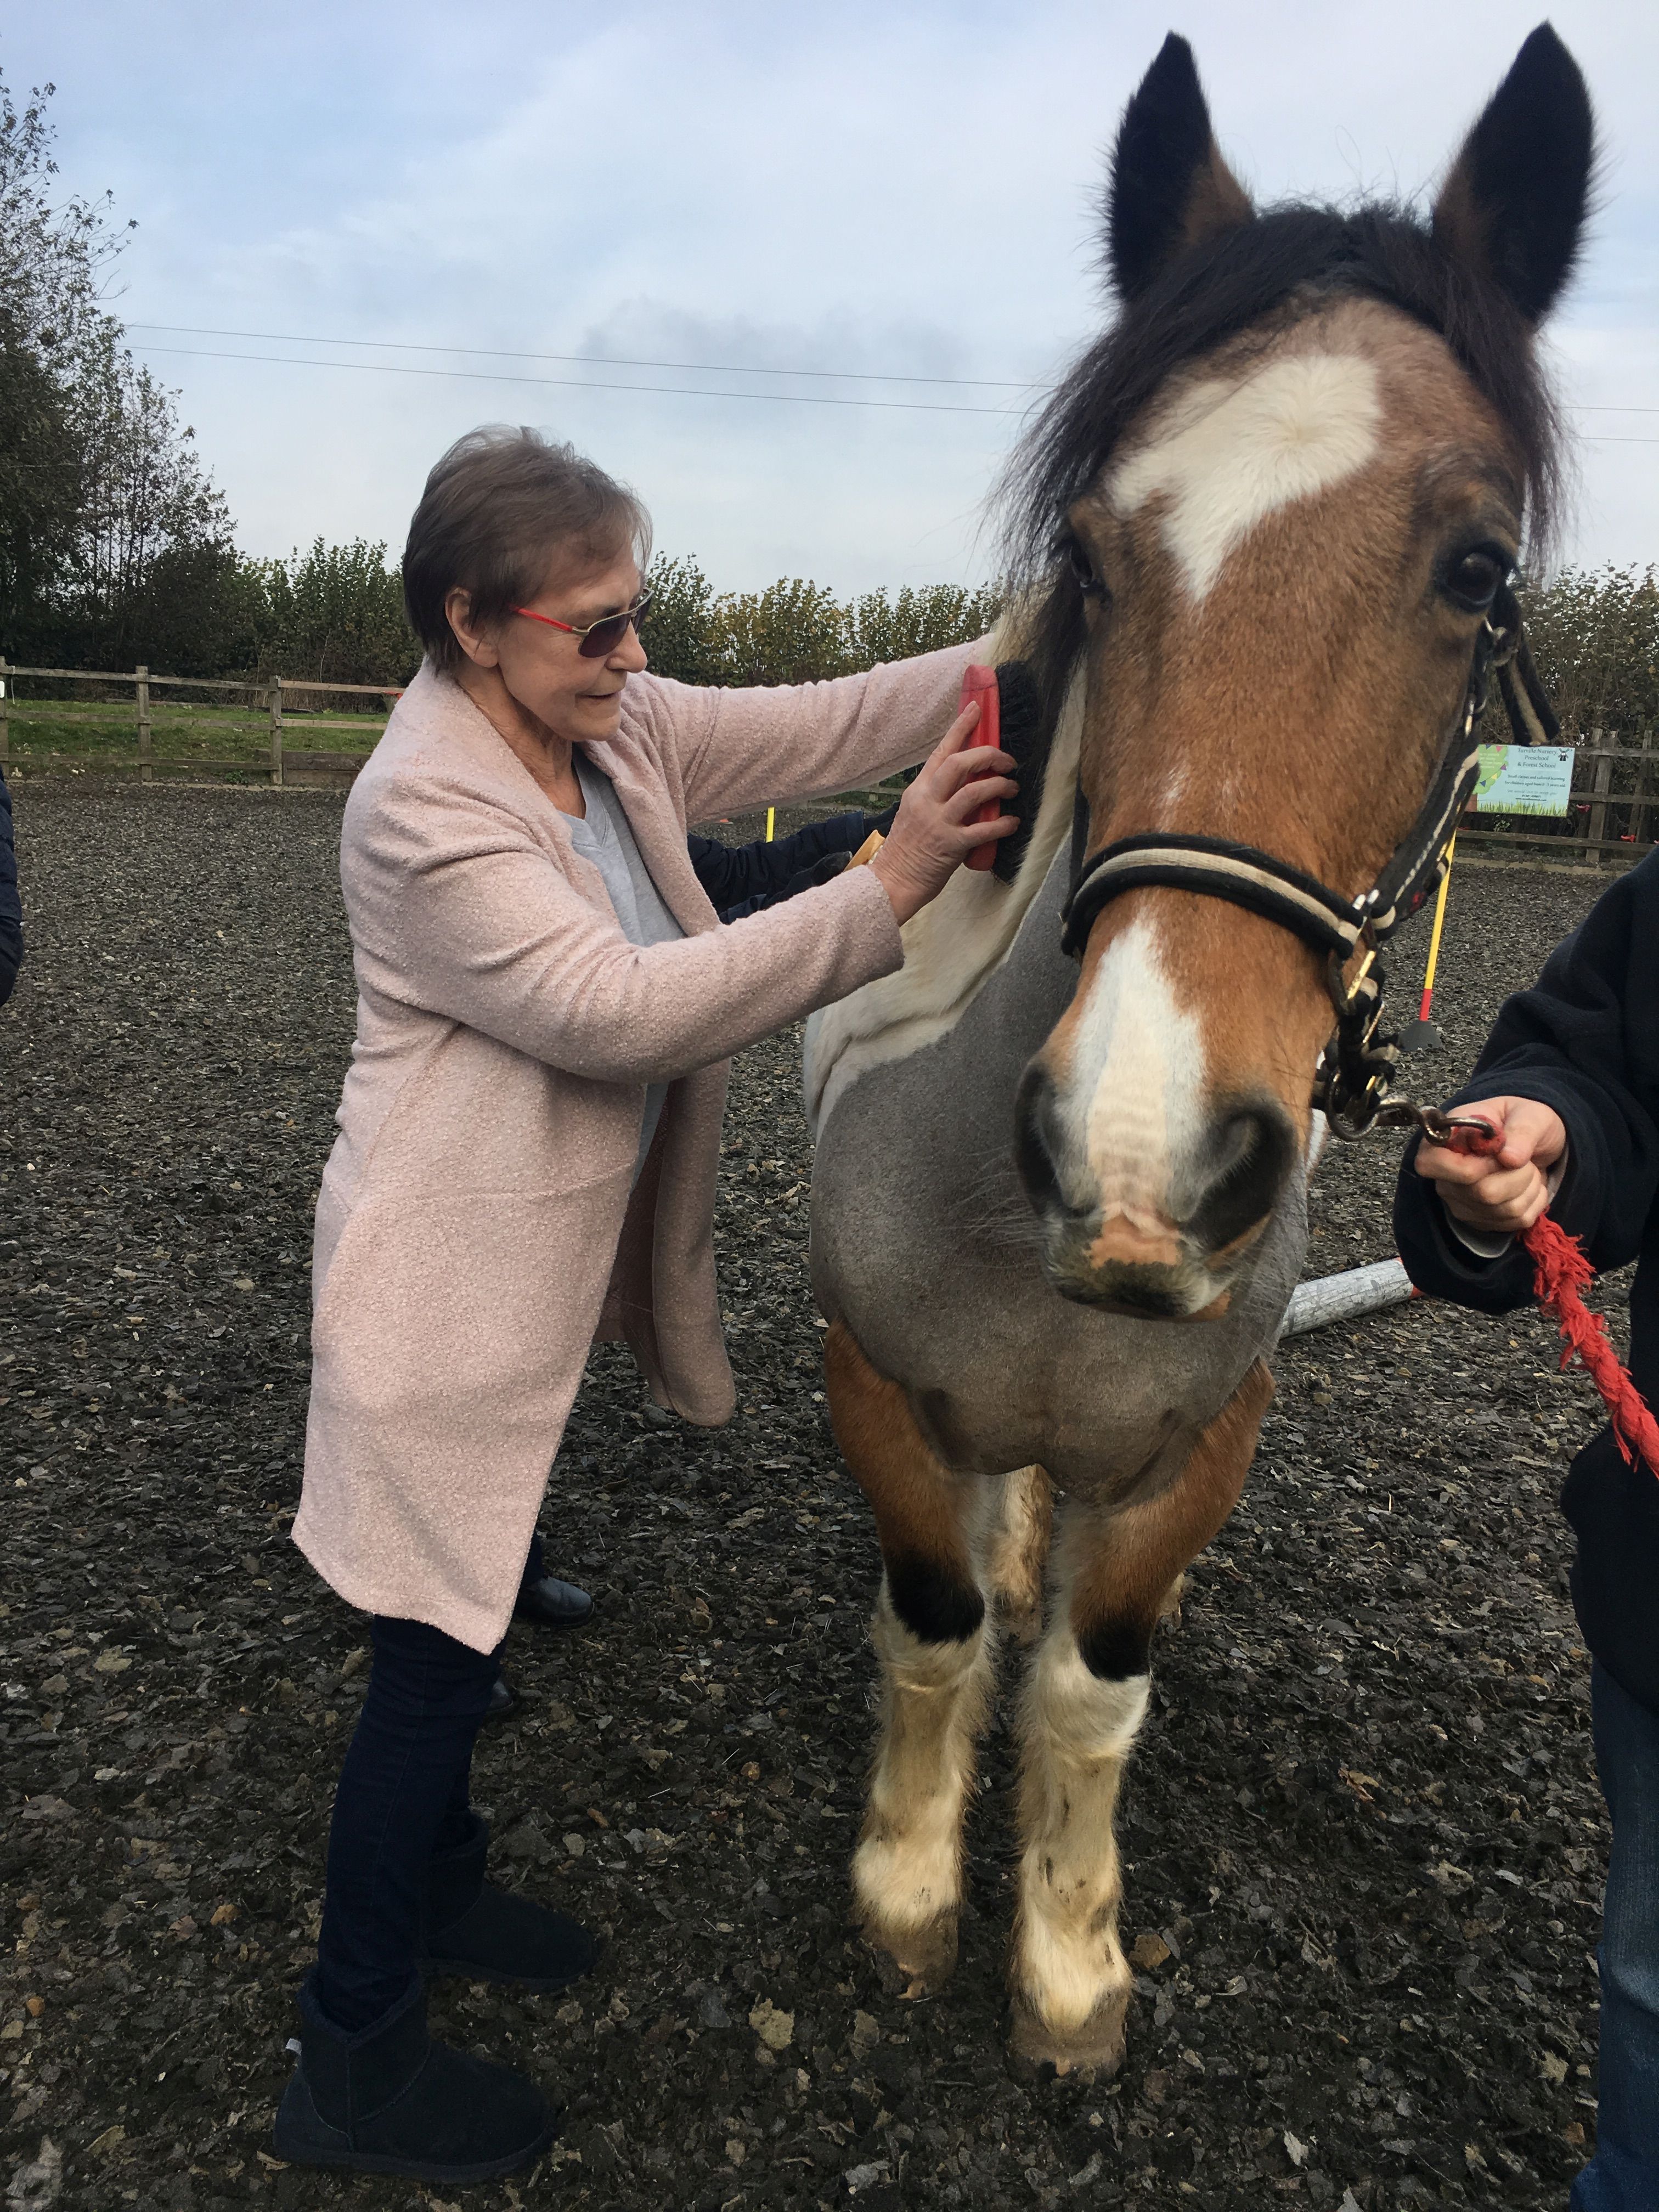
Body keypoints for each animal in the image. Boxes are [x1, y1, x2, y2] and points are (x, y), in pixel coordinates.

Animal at [805, 26, 1601, 2079]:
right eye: (1091, 553)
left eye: (1476, 567)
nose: (1144, 1163)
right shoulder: (877, 1392)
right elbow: (934, 1627)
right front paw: (908, 1895)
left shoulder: (1192, 1463)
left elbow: (1092, 1696)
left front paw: (1069, 1970)